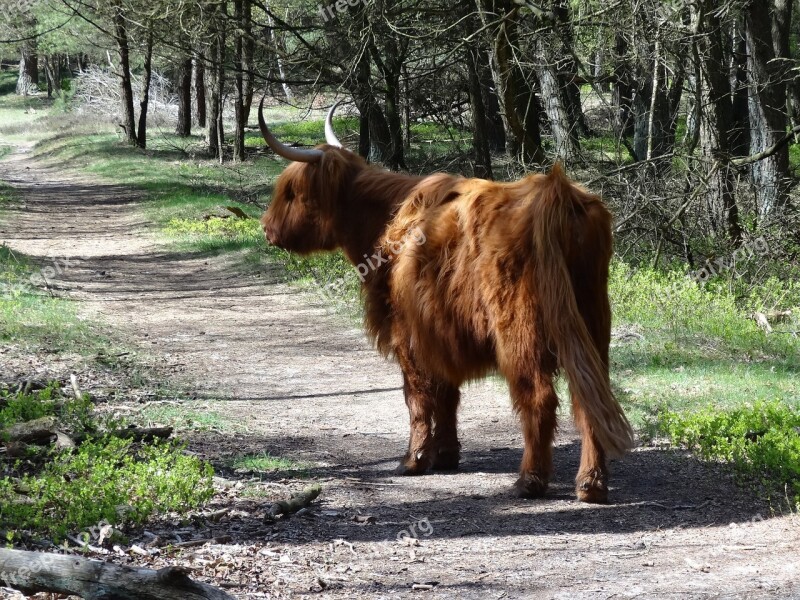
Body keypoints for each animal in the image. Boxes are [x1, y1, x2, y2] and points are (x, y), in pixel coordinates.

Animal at [260, 98, 636, 502]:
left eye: (291, 193)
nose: (266, 228)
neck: (383, 223)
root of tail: (557, 192)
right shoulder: (437, 331)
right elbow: (447, 394)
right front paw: (445, 455)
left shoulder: (406, 331)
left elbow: (417, 396)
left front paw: (413, 460)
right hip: (591, 322)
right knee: (589, 399)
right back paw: (591, 484)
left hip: (520, 332)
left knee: (538, 397)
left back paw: (530, 480)